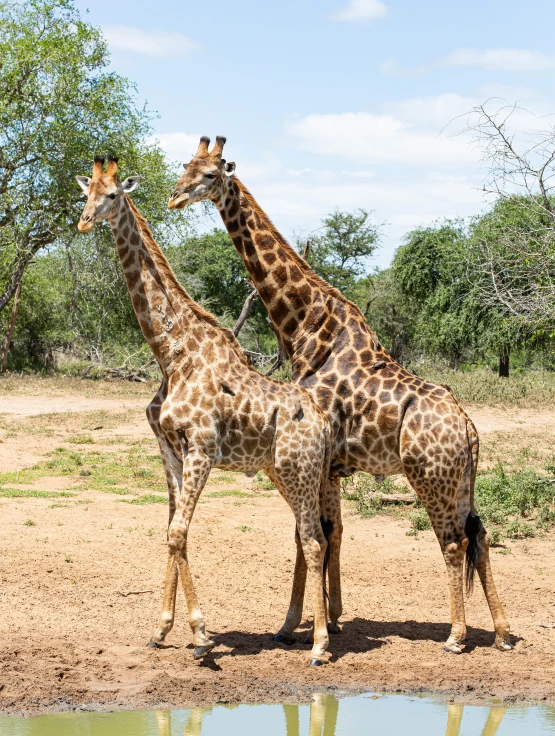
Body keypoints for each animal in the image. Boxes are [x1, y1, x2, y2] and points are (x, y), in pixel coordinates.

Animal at [76, 152, 334, 664]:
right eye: (85, 194)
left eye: (112, 195)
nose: (83, 221)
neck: (171, 354)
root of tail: (323, 421)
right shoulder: (169, 448)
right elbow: (174, 531)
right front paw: (162, 630)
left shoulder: (202, 448)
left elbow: (178, 532)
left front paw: (199, 636)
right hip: (282, 471)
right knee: (306, 534)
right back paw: (297, 630)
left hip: (299, 468)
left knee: (314, 540)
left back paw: (319, 644)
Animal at [168, 135, 512, 652]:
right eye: (185, 166)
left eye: (210, 175)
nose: (175, 196)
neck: (305, 324)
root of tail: (469, 428)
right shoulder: (329, 465)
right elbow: (328, 534)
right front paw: (328, 618)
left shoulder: (315, 458)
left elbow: (310, 535)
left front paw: (296, 623)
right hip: (462, 479)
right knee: (481, 534)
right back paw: (503, 632)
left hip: (429, 476)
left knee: (454, 541)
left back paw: (456, 635)